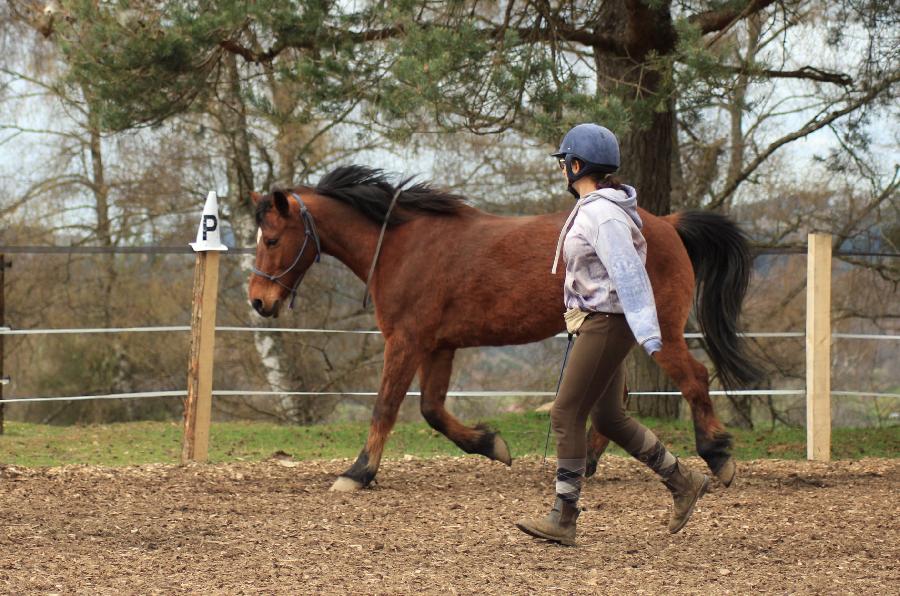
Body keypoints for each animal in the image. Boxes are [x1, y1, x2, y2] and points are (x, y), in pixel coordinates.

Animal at [246, 165, 760, 492]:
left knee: (694, 378)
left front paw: (358, 473)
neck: (401, 245)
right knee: (617, 400)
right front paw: (491, 444)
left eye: (270, 239)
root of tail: (668, 225)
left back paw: (718, 456)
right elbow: (433, 411)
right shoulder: (438, 347)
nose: (258, 300)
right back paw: (589, 464)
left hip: (659, 332)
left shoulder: (406, 342)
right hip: (619, 333)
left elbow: (386, 409)